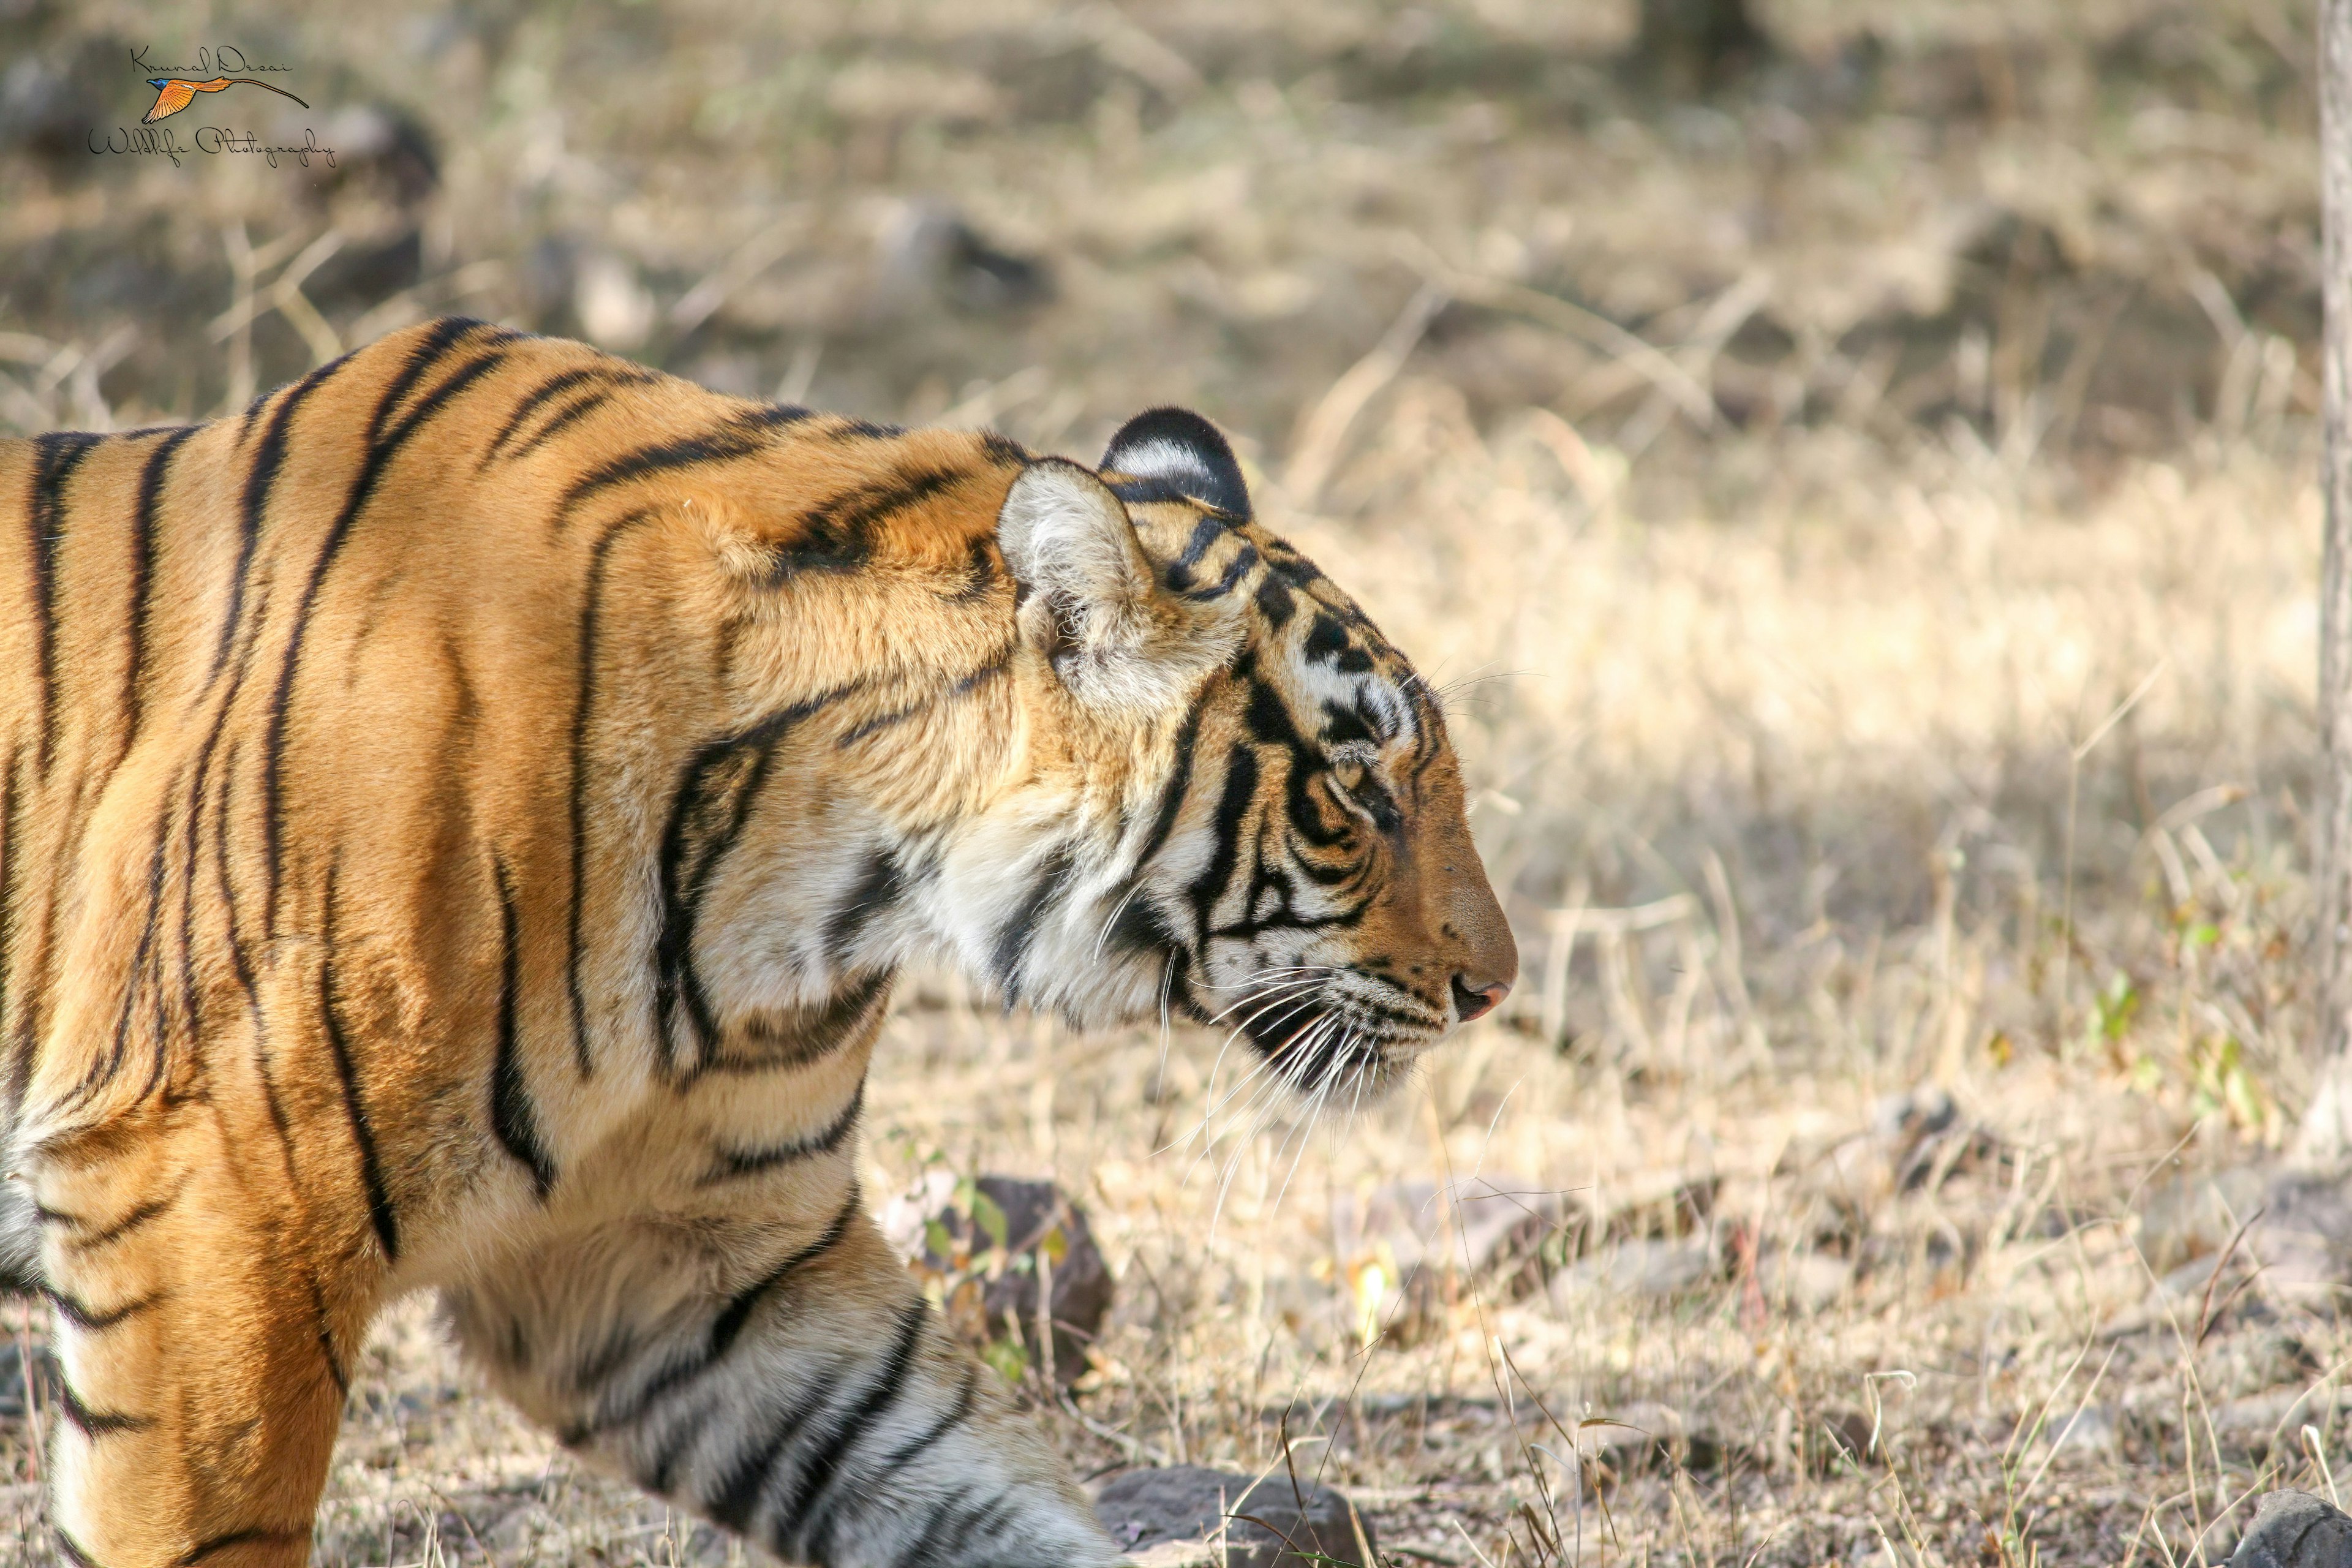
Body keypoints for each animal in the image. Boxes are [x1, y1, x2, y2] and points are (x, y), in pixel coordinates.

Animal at [0, 319, 1514, 1568]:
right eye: (1360, 790)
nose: (1492, 987)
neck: (817, 890)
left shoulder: (689, 1257)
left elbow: (954, 1467)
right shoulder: (224, 1198)